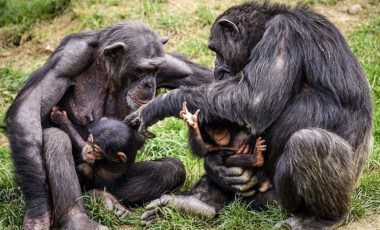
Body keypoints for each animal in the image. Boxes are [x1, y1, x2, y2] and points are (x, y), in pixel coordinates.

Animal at [4, 20, 214, 229]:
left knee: (172, 168)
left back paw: (104, 198)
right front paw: (38, 212)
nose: (148, 84)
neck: (108, 68)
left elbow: (208, 81)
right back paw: (78, 219)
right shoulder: (68, 58)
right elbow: (29, 108)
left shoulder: (169, 64)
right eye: (141, 70)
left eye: (155, 70)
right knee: (55, 137)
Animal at [126, 1, 372, 228]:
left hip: (279, 200)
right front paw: (217, 167)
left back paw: (319, 219)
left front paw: (159, 104)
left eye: (216, 50)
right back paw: (193, 204)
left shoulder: (283, 34)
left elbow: (253, 99)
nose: (215, 64)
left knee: (309, 142)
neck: (262, 33)